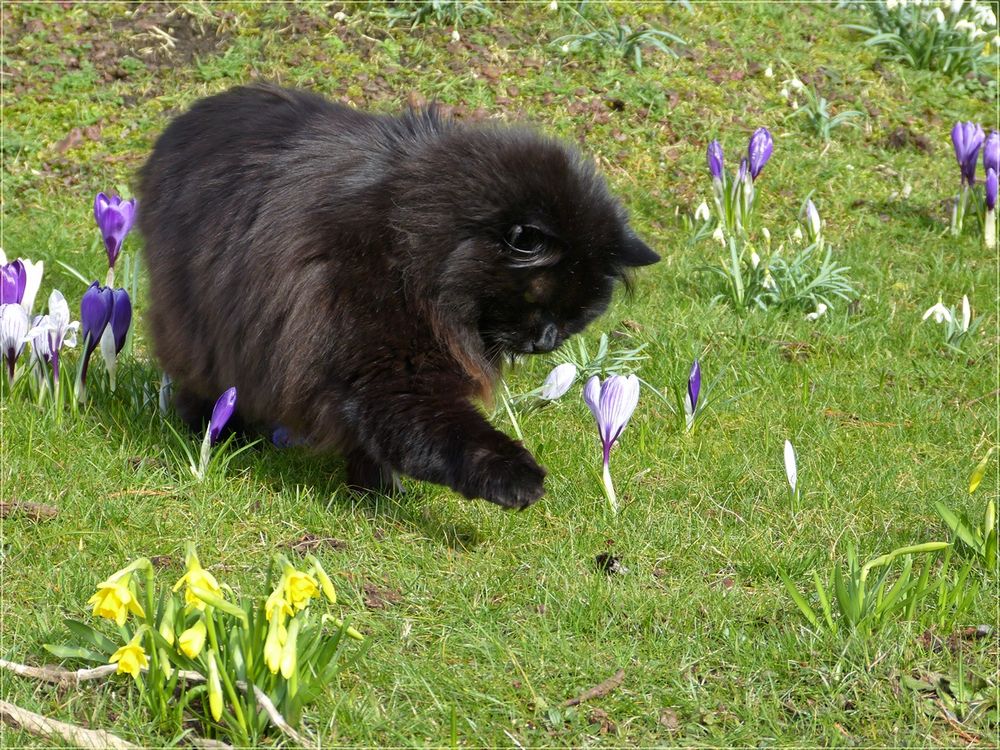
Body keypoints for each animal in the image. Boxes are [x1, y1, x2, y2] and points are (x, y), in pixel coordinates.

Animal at [139, 85, 656, 516]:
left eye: (575, 318)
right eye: (537, 300)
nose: (545, 342)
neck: (413, 242)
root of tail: (188, 119)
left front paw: (376, 494)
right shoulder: (382, 365)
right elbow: (448, 432)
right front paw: (515, 478)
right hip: (202, 324)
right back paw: (215, 434)